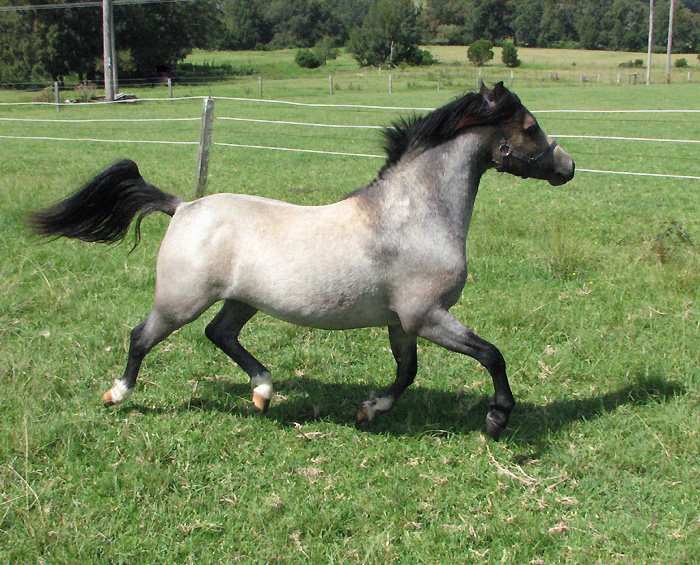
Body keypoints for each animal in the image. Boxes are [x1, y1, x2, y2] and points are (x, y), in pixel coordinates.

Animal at [30, 82, 574, 440]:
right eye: (529, 127)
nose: (567, 167)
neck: (411, 215)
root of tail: (182, 207)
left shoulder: (403, 322)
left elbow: (406, 372)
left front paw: (369, 410)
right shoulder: (427, 315)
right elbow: (491, 355)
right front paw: (497, 419)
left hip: (242, 301)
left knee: (220, 334)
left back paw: (264, 391)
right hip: (179, 302)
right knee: (141, 337)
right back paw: (118, 395)